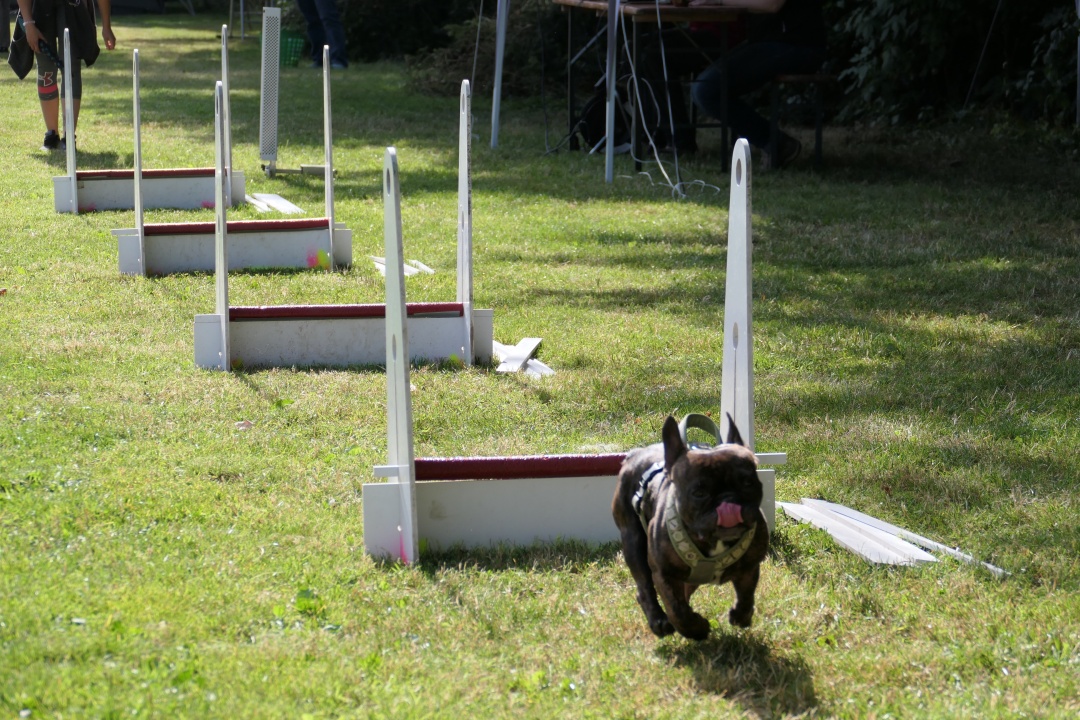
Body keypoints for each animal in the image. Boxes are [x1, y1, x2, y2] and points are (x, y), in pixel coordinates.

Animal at [612, 414, 768, 640]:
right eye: (699, 493)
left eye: (748, 483)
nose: (728, 501)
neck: (714, 541)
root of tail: (634, 455)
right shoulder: (664, 574)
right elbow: (677, 610)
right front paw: (696, 628)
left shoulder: (749, 568)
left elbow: (746, 595)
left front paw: (741, 616)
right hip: (633, 541)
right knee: (645, 586)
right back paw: (658, 620)